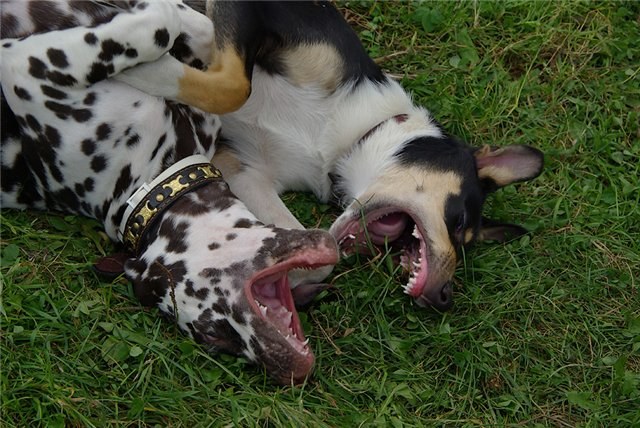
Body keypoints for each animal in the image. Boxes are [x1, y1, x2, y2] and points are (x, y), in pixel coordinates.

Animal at [0, 0, 338, 386]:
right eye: (214, 334)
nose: (288, 369)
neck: (144, 183)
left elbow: (202, 34)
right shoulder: (22, 65)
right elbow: (164, 29)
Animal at [116, 1, 544, 312]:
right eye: (459, 223)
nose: (444, 299)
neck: (345, 135)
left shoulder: (245, 171)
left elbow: (318, 253)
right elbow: (233, 85)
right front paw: (138, 65)